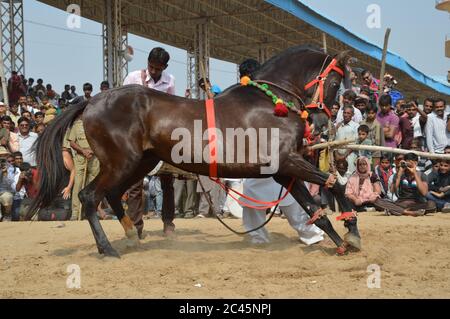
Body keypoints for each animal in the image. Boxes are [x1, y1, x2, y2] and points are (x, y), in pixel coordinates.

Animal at [28, 45, 360, 258]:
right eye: (334, 82)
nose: (321, 123)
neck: (269, 101)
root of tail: (93, 101)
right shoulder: (288, 162)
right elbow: (337, 185)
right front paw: (351, 231)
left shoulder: (282, 170)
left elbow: (315, 206)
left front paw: (343, 240)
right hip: (121, 162)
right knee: (89, 196)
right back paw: (107, 248)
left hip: (140, 162)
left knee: (110, 195)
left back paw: (132, 237)